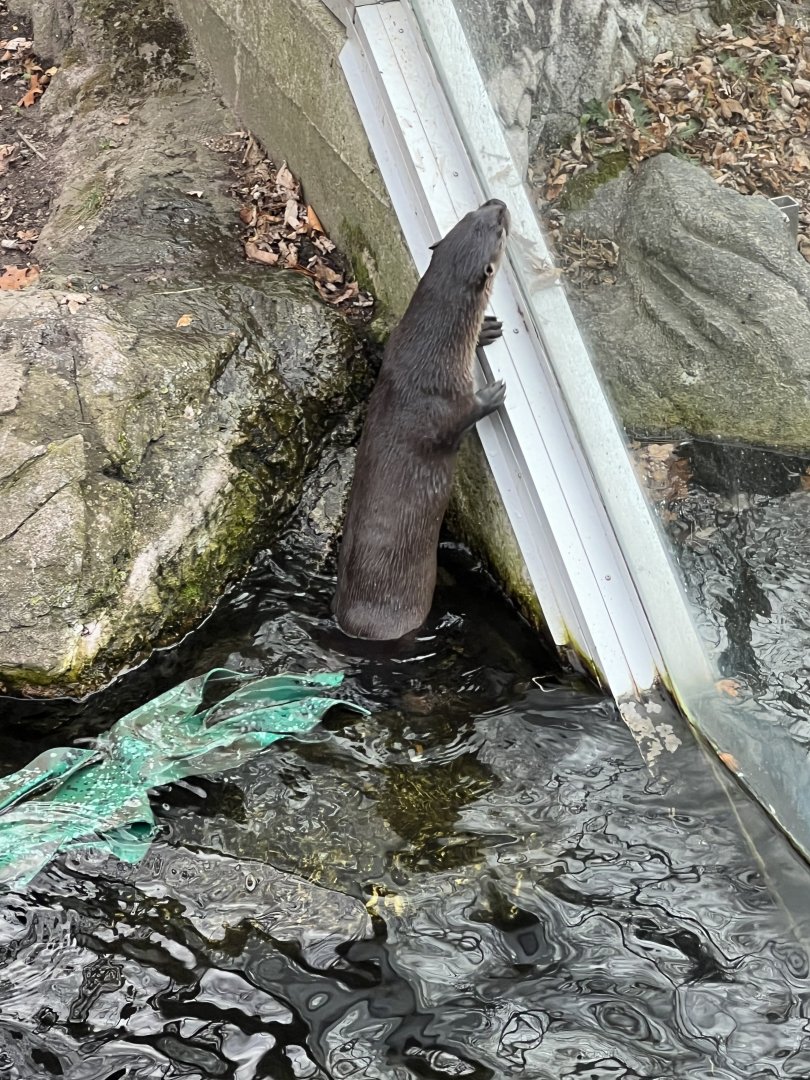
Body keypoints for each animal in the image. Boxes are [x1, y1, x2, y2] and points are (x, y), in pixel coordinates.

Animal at [333, 198, 511, 641]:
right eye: (499, 230)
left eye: (475, 212)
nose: (499, 203)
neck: (427, 354)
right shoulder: (444, 400)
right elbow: (462, 416)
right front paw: (492, 393)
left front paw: (485, 330)